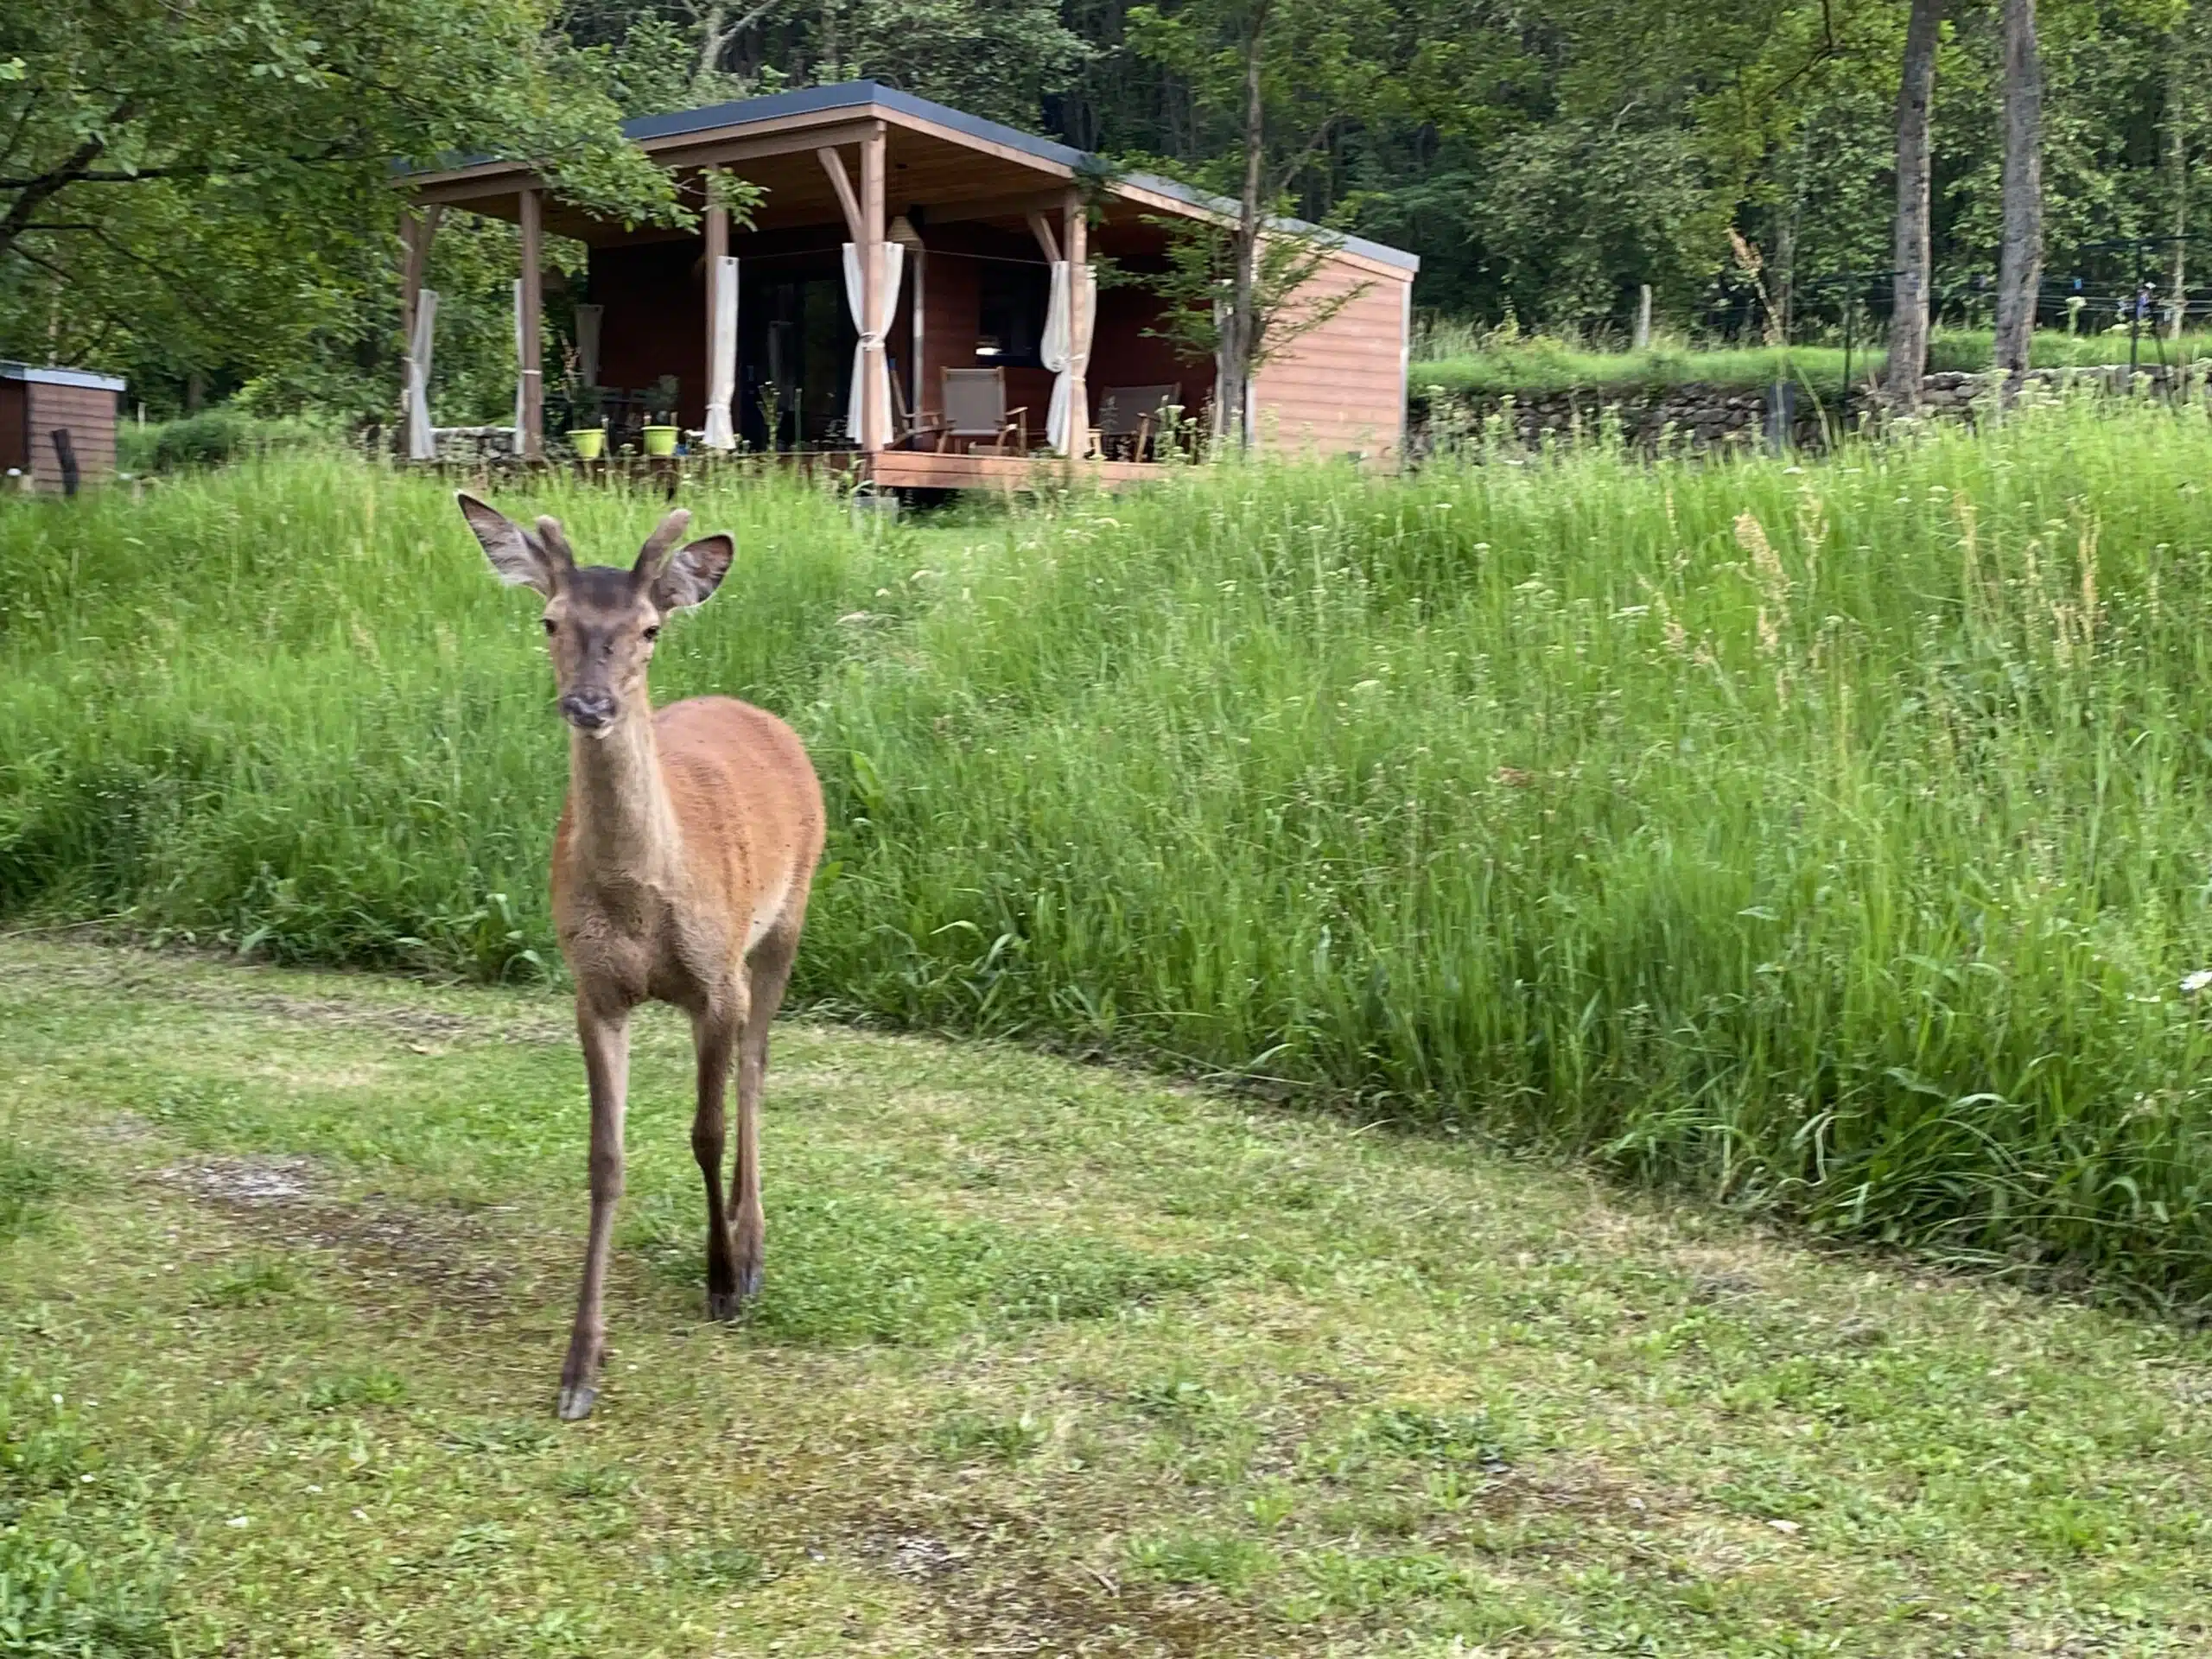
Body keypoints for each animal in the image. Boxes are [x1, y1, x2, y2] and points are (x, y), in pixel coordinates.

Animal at [460, 493, 831, 1433]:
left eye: (650, 628)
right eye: (551, 619)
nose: (591, 704)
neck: (641, 902)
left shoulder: (715, 979)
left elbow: (706, 1129)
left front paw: (723, 1280)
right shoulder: (593, 990)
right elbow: (605, 1159)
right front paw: (579, 1366)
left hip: (789, 917)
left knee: (756, 1070)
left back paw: (751, 1241)